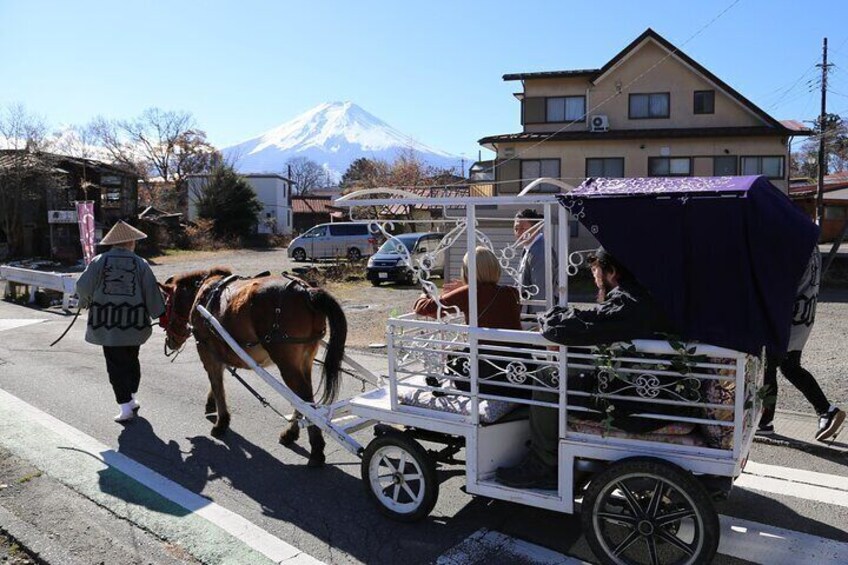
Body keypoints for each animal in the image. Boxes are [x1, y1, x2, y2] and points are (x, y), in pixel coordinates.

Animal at [161, 268, 346, 468]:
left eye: (167, 305)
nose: (170, 342)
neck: (203, 293)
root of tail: (307, 292)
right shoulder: (222, 350)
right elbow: (218, 380)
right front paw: (212, 404)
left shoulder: (207, 351)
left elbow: (217, 384)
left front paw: (221, 422)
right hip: (304, 361)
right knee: (302, 398)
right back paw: (292, 434)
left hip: (288, 364)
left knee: (303, 398)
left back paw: (316, 450)